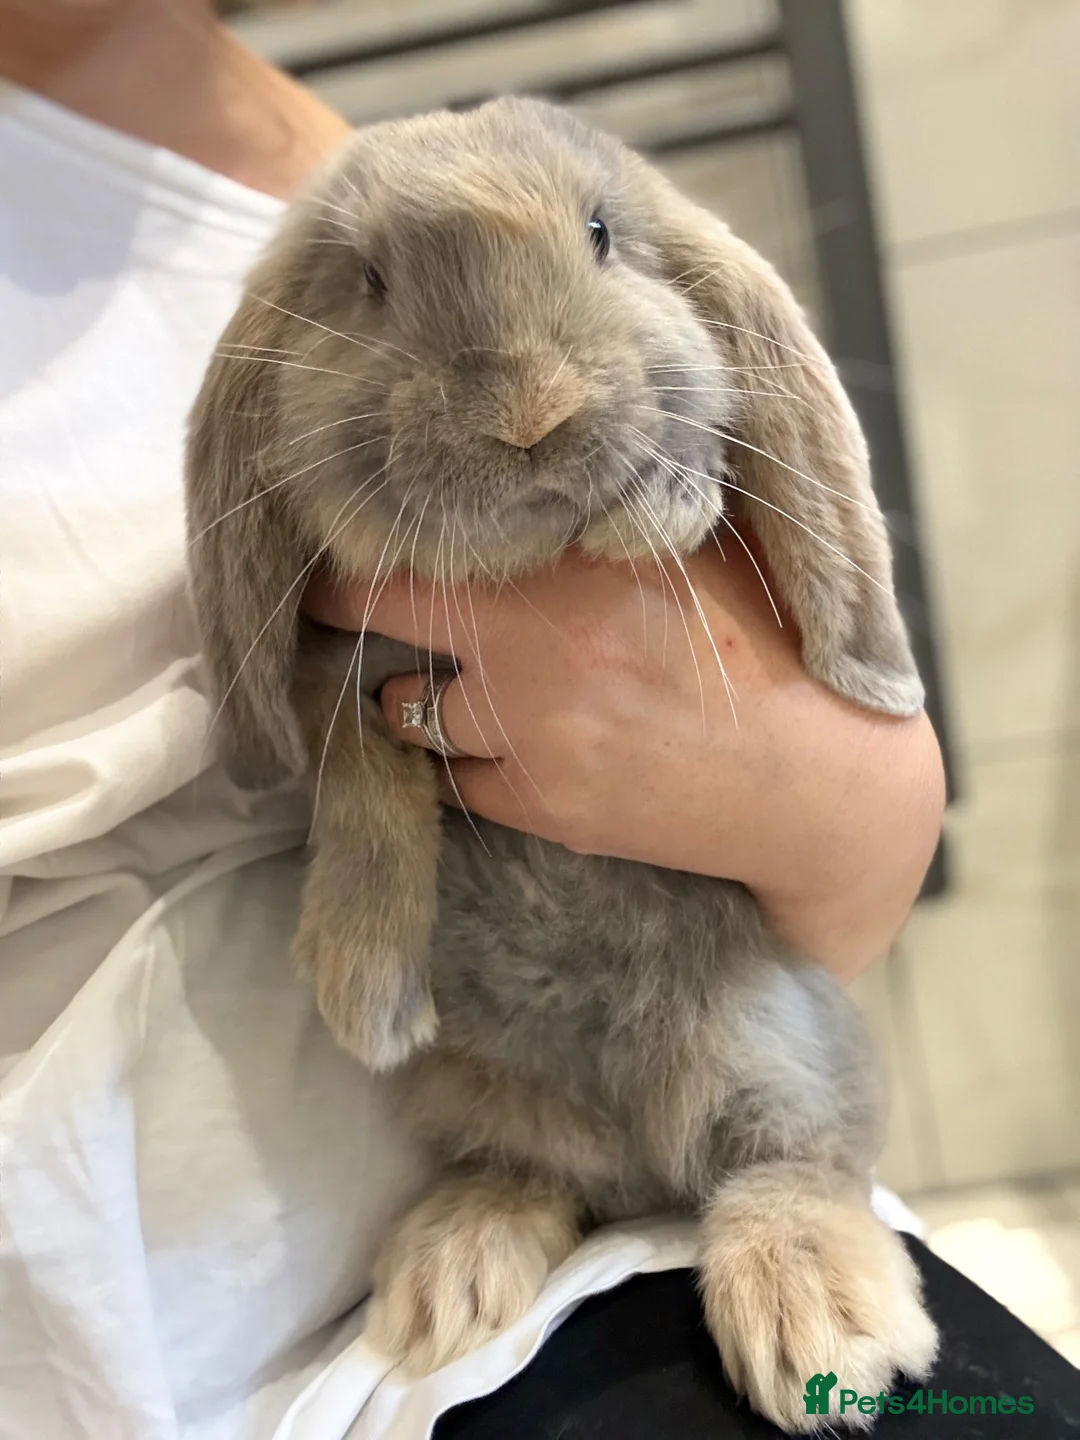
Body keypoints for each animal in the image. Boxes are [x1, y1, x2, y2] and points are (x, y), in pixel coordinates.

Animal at [185, 97, 938, 1433]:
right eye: (370, 283)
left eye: (601, 235)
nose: (529, 413)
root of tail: (636, 1155)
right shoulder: (340, 665)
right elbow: (359, 766)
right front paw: (363, 992)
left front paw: (664, 510)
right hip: (482, 1095)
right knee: (538, 1176)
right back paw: (453, 1273)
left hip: (778, 1044)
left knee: (794, 1170)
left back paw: (817, 1325)